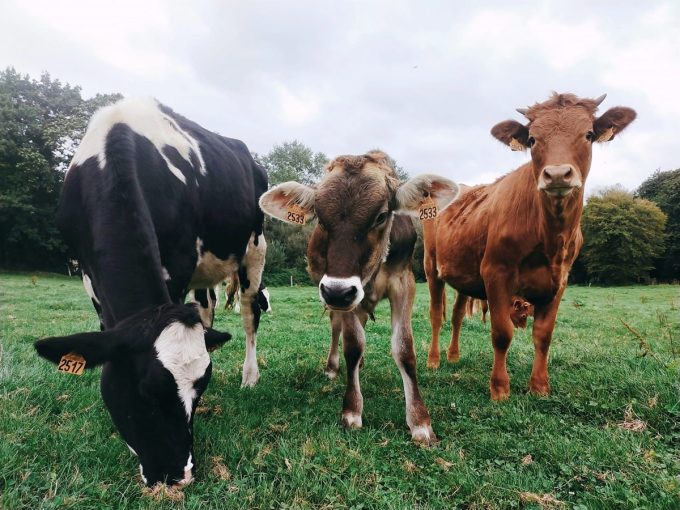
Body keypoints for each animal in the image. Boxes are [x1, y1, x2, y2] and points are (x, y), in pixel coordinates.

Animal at [33, 97, 268, 485]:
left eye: (195, 393)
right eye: (146, 392)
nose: (179, 475)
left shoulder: (180, 259)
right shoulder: (86, 270)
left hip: (254, 248)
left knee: (250, 313)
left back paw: (250, 377)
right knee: (206, 307)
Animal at [259, 151, 460, 444]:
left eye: (381, 216)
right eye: (320, 218)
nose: (337, 291)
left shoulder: (403, 283)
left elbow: (404, 348)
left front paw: (420, 421)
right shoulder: (343, 294)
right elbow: (352, 345)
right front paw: (352, 410)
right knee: (337, 328)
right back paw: (333, 367)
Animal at [423, 93, 635, 399]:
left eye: (589, 135)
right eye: (533, 139)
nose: (557, 174)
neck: (549, 237)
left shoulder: (559, 281)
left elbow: (543, 336)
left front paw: (539, 386)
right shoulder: (495, 273)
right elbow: (502, 333)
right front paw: (499, 388)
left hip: (462, 273)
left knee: (456, 315)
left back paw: (453, 356)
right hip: (431, 266)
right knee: (436, 315)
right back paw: (434, 359)